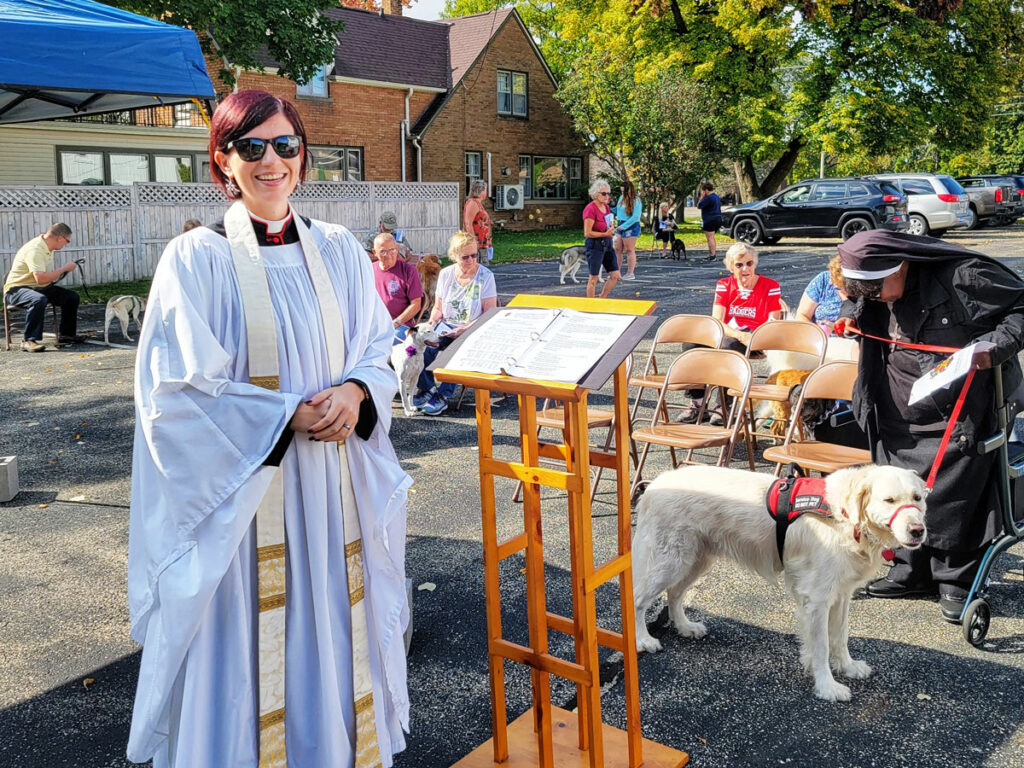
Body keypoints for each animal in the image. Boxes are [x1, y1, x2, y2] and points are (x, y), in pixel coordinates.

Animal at [630, 462, 929, 704]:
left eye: (917, 498)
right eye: (889, 500)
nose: (918, 530)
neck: (842, 515)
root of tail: (655, 484)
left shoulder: (841, 594)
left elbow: (840, 636)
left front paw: (848, 667)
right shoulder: (817, 598)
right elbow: (821, 647)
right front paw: (827, 686)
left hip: (695, 560)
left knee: (675, 594)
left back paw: (685, 627)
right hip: (671, 561)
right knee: (638, 600)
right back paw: (643, 639)